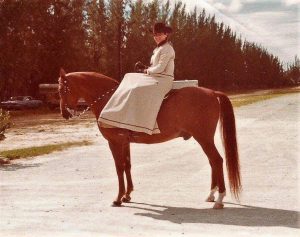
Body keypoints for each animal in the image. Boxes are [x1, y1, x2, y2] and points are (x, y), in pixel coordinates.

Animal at [58, 68, 241, 209]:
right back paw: (211, 194)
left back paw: (219, 198)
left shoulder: (115, 143)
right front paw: (127, 195)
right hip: (204, 139)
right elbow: (127, 166)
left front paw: (118, 199)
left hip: (204, 138)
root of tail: (212, 92)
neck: (110, 99)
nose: (64, 114)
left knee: (217, 160)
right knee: (212, 162)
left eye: (62, 90)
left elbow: (119, 168)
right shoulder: (125, 143)